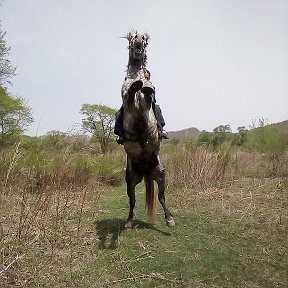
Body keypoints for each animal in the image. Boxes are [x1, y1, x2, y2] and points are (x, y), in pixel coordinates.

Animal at [120, 31, 174, 228]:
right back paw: (129, 222)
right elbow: (128, 94)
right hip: (130, 179)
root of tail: (145, 172)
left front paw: (146, 87)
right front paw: (135, 86)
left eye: (143, 39)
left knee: (161, 196)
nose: (137, 42)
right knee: (132, 200)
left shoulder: (146, 103)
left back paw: (169, 219)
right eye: (132, 37)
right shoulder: (126, 99)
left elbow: (148, 94)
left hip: (160, 173)